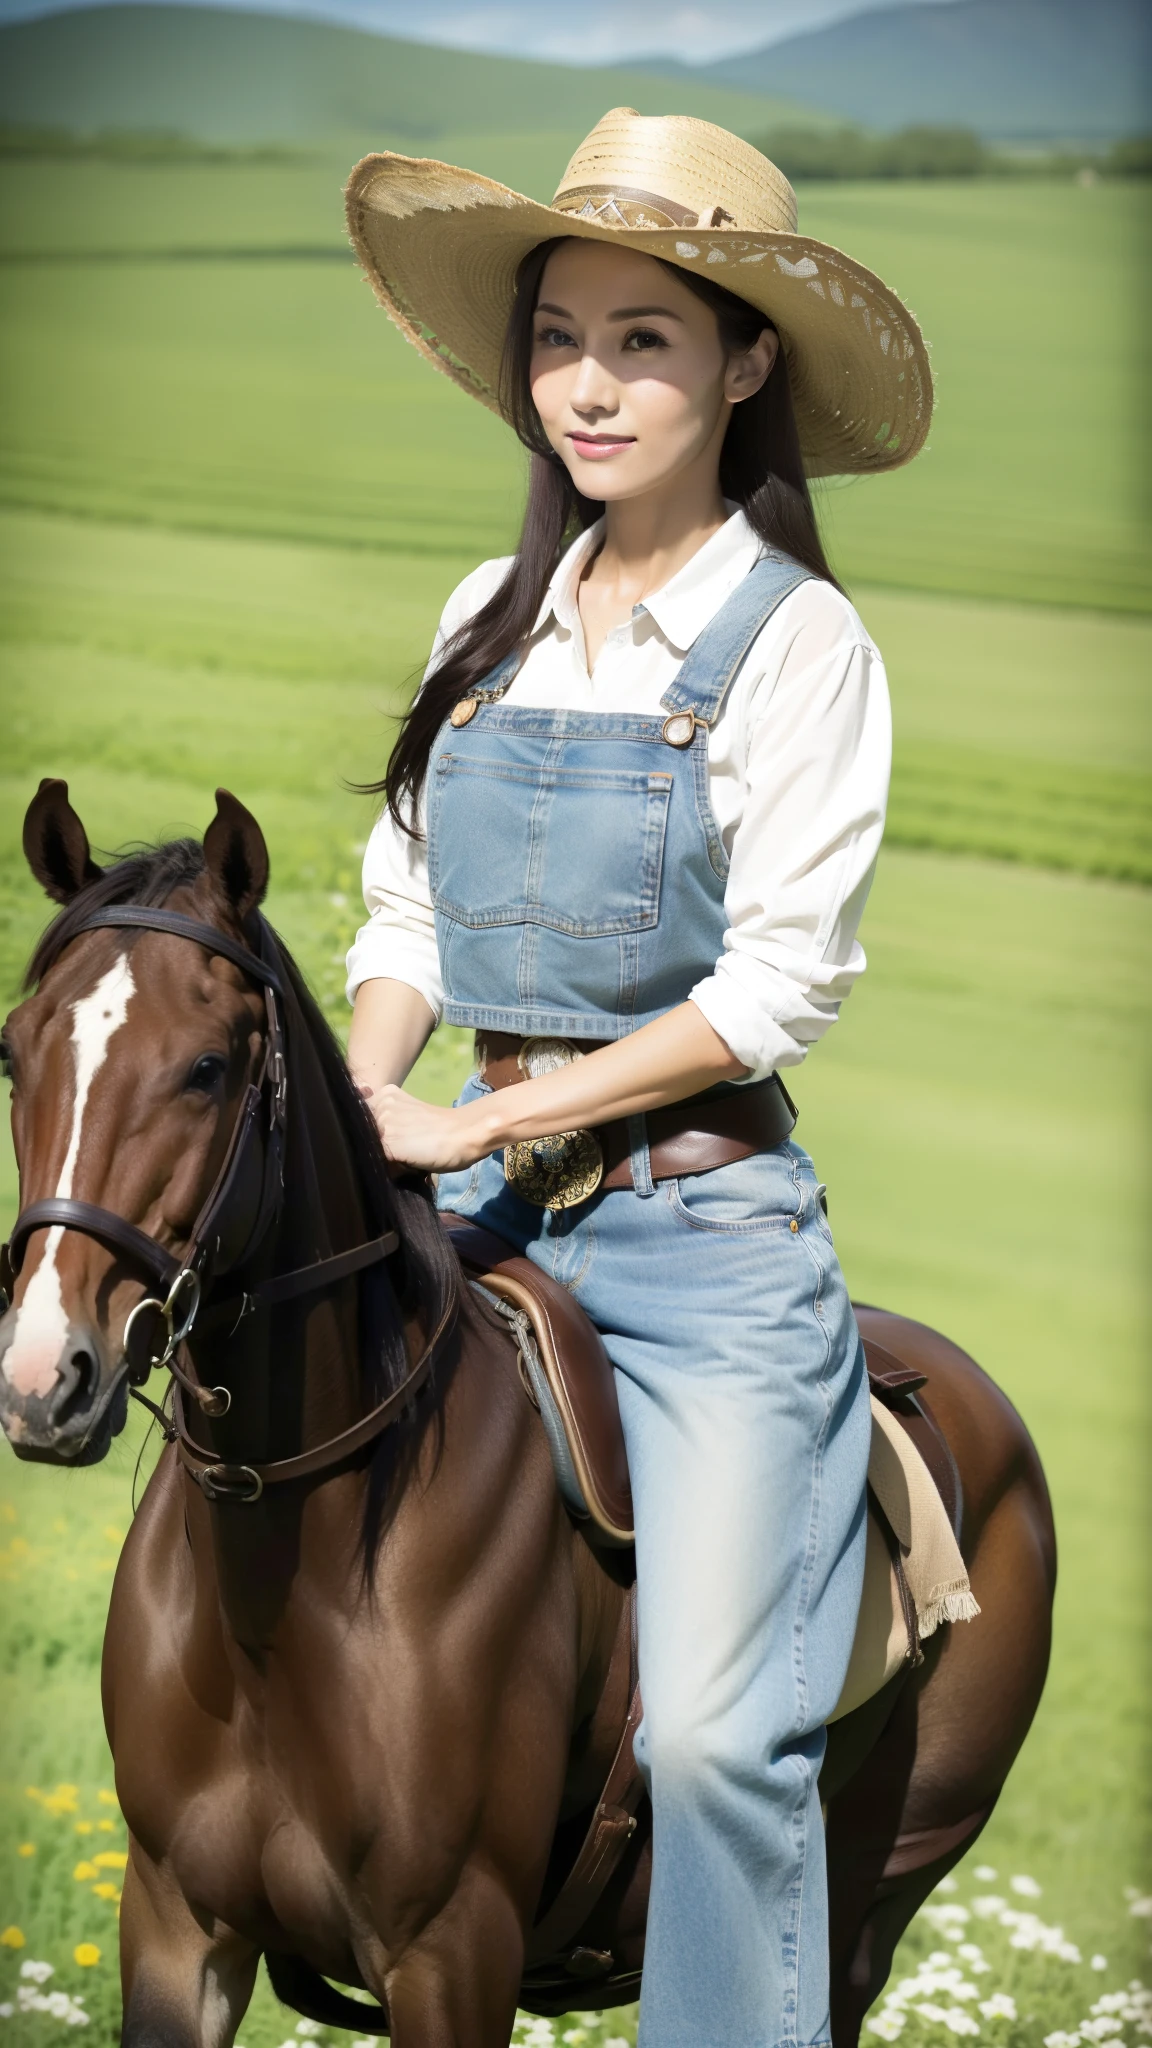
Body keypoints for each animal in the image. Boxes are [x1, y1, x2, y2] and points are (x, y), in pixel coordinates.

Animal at [0, 782, 1057, 2048]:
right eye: (13, 1052)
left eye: (206, 1067)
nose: (45, 1373)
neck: (297, 1570)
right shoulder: (176, 1924)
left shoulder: (454, 1949)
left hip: (863, 1907)